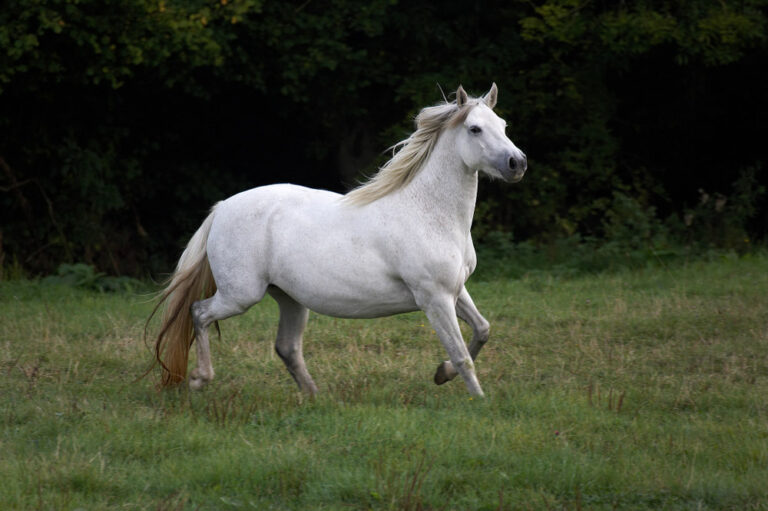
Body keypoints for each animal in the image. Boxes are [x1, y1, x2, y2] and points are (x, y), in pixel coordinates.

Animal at [147, 84, 524, 398]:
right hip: (241, 295)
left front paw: (441, 375)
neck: (428, 212)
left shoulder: (455, 290)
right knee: (199, 313)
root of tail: (222, 208)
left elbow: (483, 330)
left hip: (289, 298)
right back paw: (201, 379)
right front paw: (479, 401)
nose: (517, 163)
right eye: (475, 129)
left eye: (503, 124)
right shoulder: (434, 297)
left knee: (286, 347)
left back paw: (315, 397)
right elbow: (461, 354)